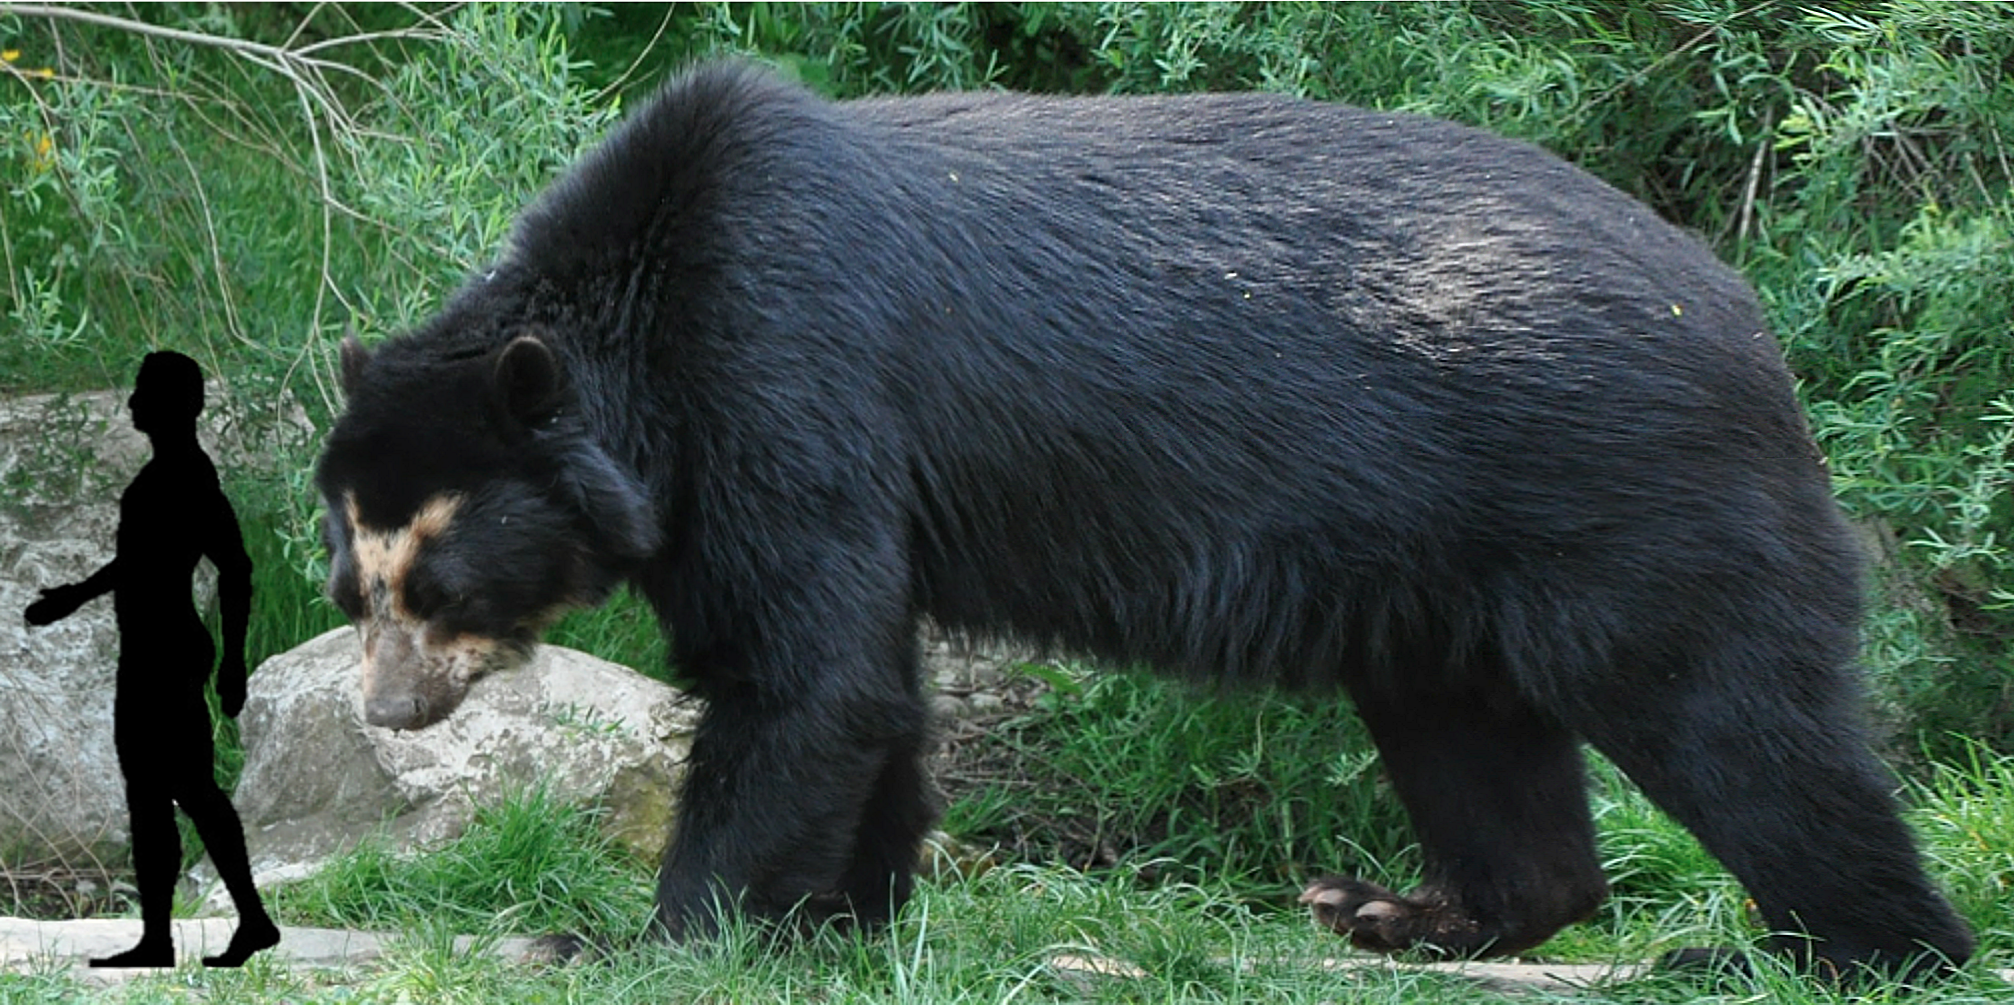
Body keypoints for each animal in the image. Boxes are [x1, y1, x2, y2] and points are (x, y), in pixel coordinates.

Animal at [315, 62, 1974, 979]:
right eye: (356, 584)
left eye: (437, 579)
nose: (387, 716)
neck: (648, 345)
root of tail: (1752, 326)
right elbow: (865, 685)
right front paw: (844, 920)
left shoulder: (787, 386)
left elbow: (802, 677)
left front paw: (650, 939)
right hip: (1441, 583)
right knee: (1482, 746)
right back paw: (1399, 913)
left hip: (1633, 504)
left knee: (1739, 728)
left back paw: (1818, 952)